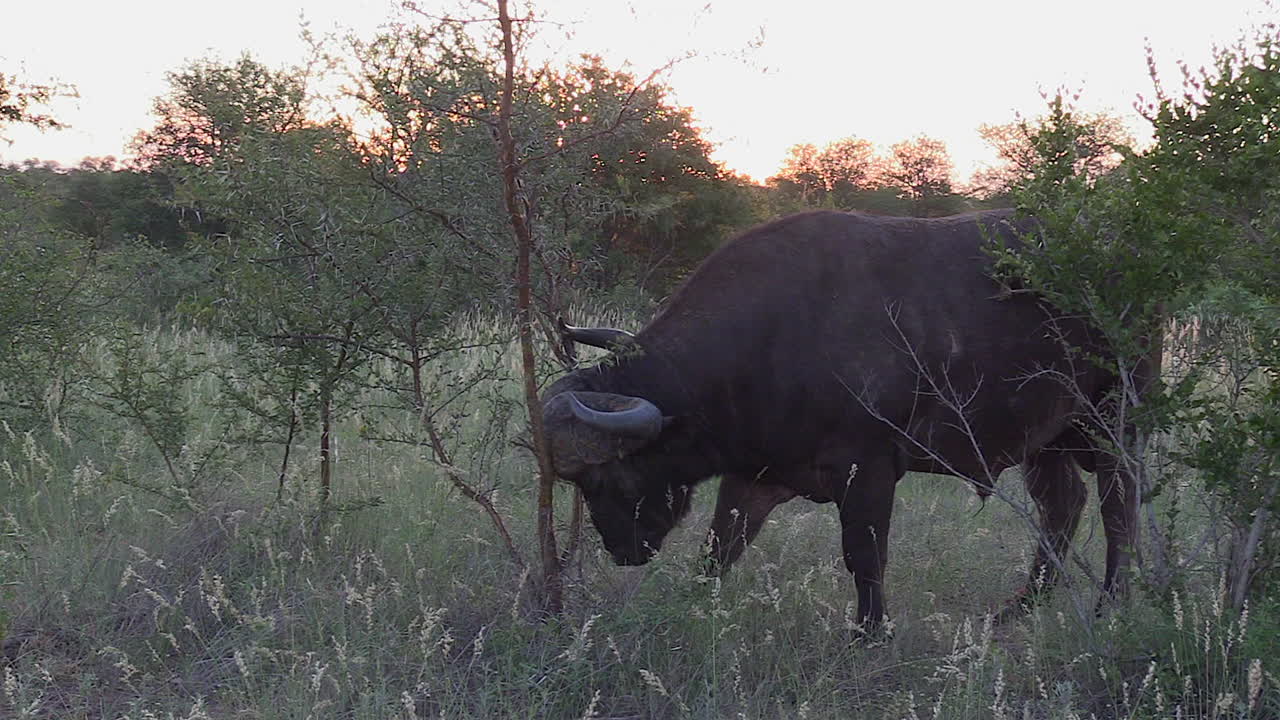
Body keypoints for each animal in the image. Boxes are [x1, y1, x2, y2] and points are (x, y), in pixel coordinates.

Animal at [542, 210, 1148, 629]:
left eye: (606, 477)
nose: (620, 549)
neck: (767, 341)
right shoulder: (755, 477)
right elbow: (718, 550)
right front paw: (691, 607)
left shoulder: (869, 471)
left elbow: (865, 557)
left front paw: (870, 634)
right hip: (1046, 439)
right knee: (1062, 506)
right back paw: (1017, 610)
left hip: (1116, 420)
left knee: (1118, 507)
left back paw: (1109, 605)